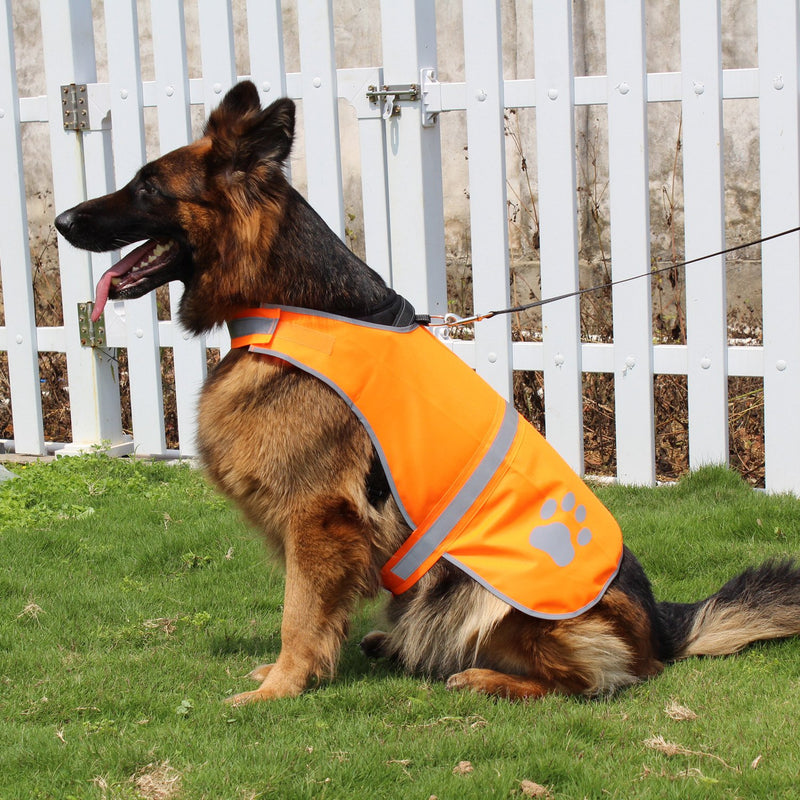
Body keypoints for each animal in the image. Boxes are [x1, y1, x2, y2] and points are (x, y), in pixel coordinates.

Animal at [56, 83, 800, 708]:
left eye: (148, 185)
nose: (61, 219)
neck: (296, 299)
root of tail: (661, 629)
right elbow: (310, 615)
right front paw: (291, 675)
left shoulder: (318, 518)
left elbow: (297, 614)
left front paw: (279, 688)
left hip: (492, 599)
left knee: (592, 683)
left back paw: (485, 677)